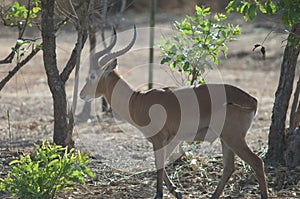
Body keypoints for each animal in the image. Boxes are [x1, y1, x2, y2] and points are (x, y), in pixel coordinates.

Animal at [79, 26, 268, 199]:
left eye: (92, 76)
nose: (82, 94)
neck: (138, 101)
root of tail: (252, 100)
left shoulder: (158, 139)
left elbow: (158, 164)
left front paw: (160, 194)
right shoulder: (171, 139)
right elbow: (160, 163)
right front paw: (176, 192)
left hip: (233, 138)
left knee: (257, 162)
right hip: (226, 139)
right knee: (229, 167)